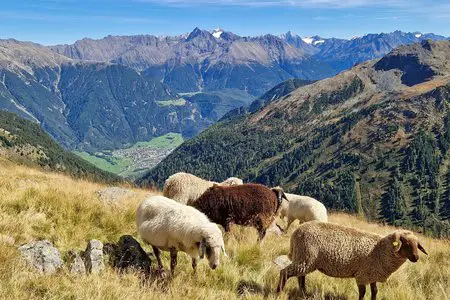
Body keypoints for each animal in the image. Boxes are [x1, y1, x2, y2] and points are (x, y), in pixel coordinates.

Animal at [276, 220, 428, 300]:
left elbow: (374, 291)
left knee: (300, 277)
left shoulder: (372, 274)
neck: (381, 250)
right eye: (406, 243)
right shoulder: (362, 274)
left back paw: (303, 293)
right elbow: (363, 292)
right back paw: (279, 292)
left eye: (417, 244)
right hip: (306, 257)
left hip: (305, 259)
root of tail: (297, 231)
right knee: (285, 273)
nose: (416, 258)